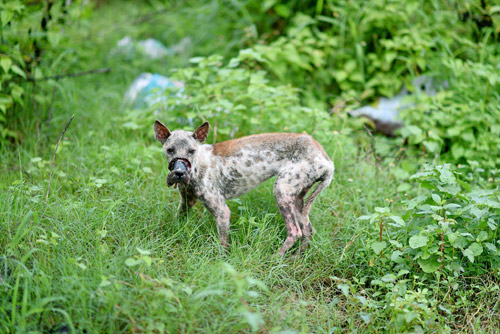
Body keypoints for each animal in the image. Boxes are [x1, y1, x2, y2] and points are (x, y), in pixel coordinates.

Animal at [154, 121, 334, 254]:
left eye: (191, 151)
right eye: (170, 150)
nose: (179, 173)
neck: (199, 163)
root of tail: (327, 162)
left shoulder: (222, 212)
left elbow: (223, 245)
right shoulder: (186, 202)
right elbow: (179, 222)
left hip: (282, 192)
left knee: (295, 232)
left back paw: (275, 259)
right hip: (296, 200)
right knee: (308, 231)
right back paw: (296, 258)